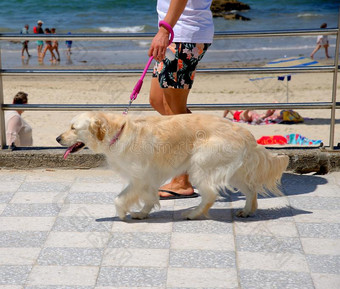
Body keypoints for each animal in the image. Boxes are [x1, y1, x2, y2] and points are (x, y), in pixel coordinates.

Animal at [56, 111, 290, 219]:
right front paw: (142, 213)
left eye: (73, 128)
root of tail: (244, 132)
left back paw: (193, 214)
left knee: (211, 194)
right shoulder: (147, 179)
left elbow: (119, 198)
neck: (117, 133)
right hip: (232, 170)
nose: (57, 138)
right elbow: (149, 197)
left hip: (201, 165)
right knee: (250, 189)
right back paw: (247, 210)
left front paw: (122, 213)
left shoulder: (139, 177)